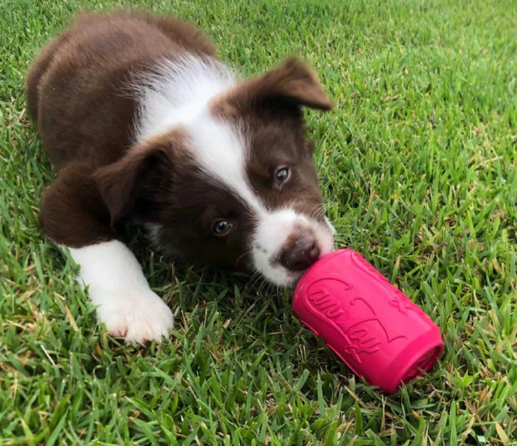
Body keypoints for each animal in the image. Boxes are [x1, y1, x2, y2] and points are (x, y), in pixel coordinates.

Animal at [27, 12, 334, 344]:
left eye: (282, 173)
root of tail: (87, 19)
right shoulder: (77, 184)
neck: (176, 109)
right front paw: (136, 309)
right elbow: (99, 242)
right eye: (221, 226)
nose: (303, 253)